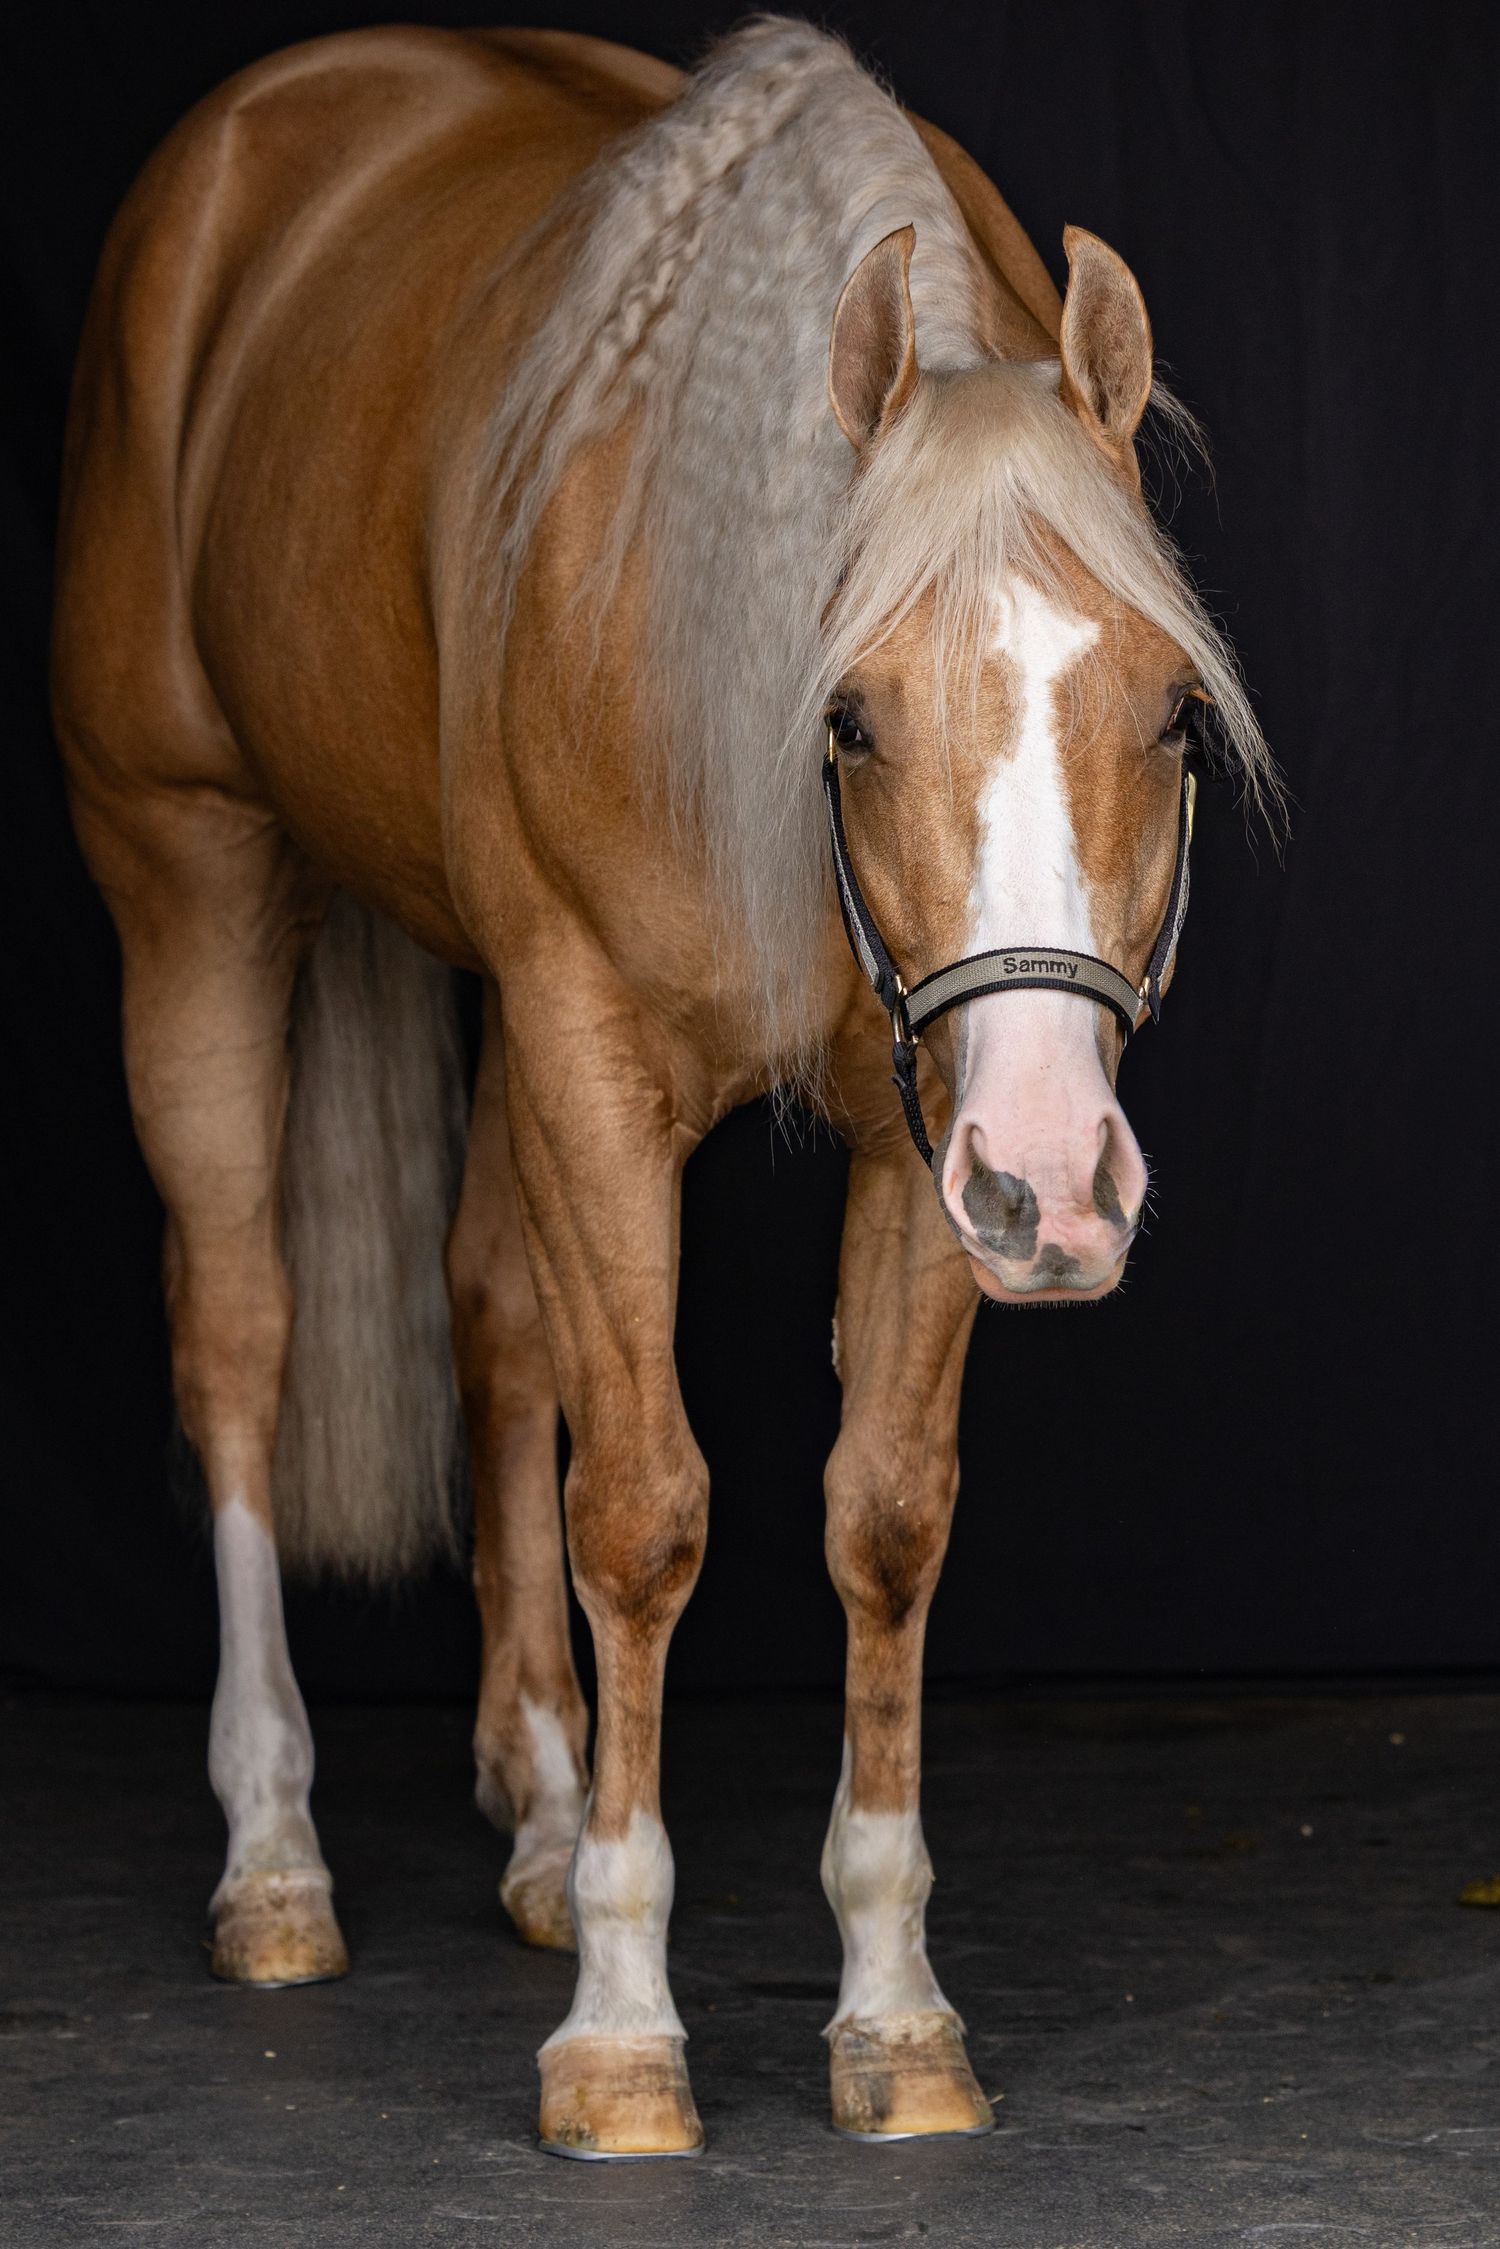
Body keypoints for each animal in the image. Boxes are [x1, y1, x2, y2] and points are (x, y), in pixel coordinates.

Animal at [51, 18, 1272, 2158]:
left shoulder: (921, 1118)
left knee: (496, 1315)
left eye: (1175, 717)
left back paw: (542, 1807)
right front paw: (622, 2033)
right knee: (241, 1335)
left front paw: (894, 2006)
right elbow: (638, 1509)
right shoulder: (596, 1048)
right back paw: (274, 1854)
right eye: (848, 716)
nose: (1059, 1186)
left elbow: (884, 1513)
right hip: (191, 879)